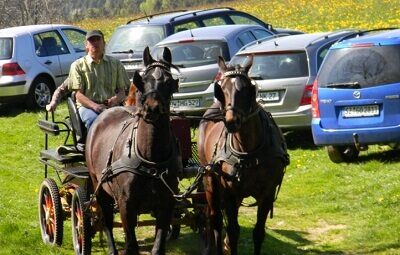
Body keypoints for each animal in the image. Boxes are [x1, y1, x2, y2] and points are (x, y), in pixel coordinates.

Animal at [87, 46, 181, 254]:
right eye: (143, 80)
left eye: (169, 81)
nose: (152, 108)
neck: (151, 160)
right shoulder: (126, 205)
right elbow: (131, 244)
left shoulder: (166, 204)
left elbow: (158, 245)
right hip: (98, 186)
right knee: (106, 220)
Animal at [198, 56, 290, 254]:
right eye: (221, 89)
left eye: (247, 89)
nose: (232, 121)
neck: (249, 151)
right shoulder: (229, 194)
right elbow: (233, 231)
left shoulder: (267, 193)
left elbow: (258, 232)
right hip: (210, 181)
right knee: (215, 220)